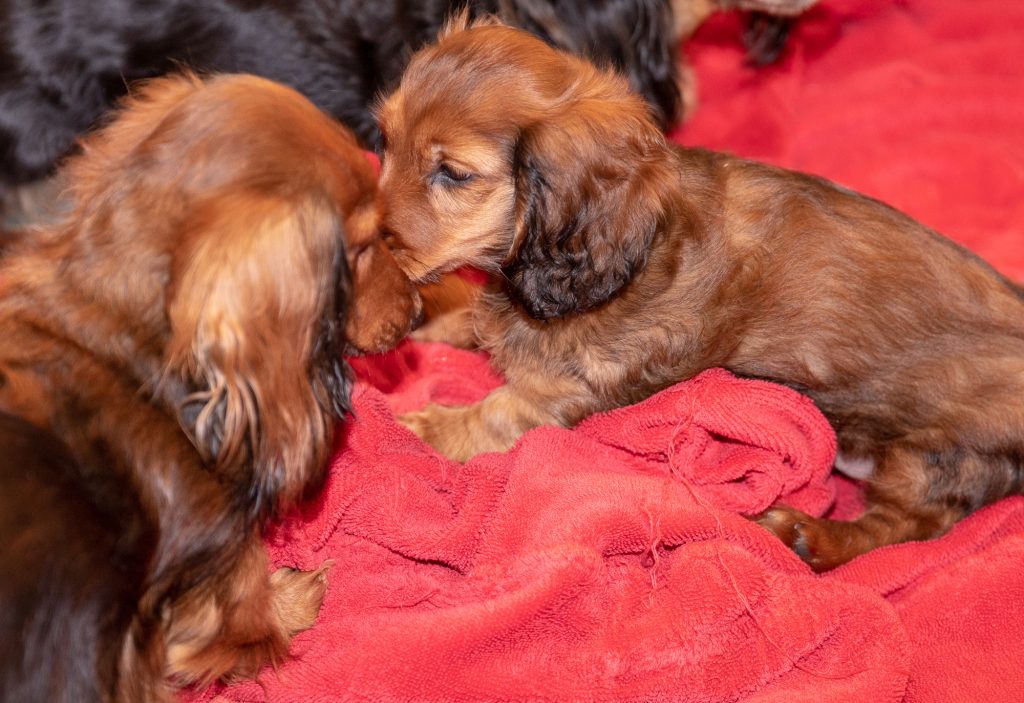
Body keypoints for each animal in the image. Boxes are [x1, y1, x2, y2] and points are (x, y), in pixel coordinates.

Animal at [376, 19, 1024, 573]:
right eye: (385, 140)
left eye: (454, 174)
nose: (365, 253)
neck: (641, 244)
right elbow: (474, 319)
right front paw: (432, 325)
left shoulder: (565, 389)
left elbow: (488, 416)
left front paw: (413, 429)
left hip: (930, 458)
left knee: (904, 526)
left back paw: (810, 535)